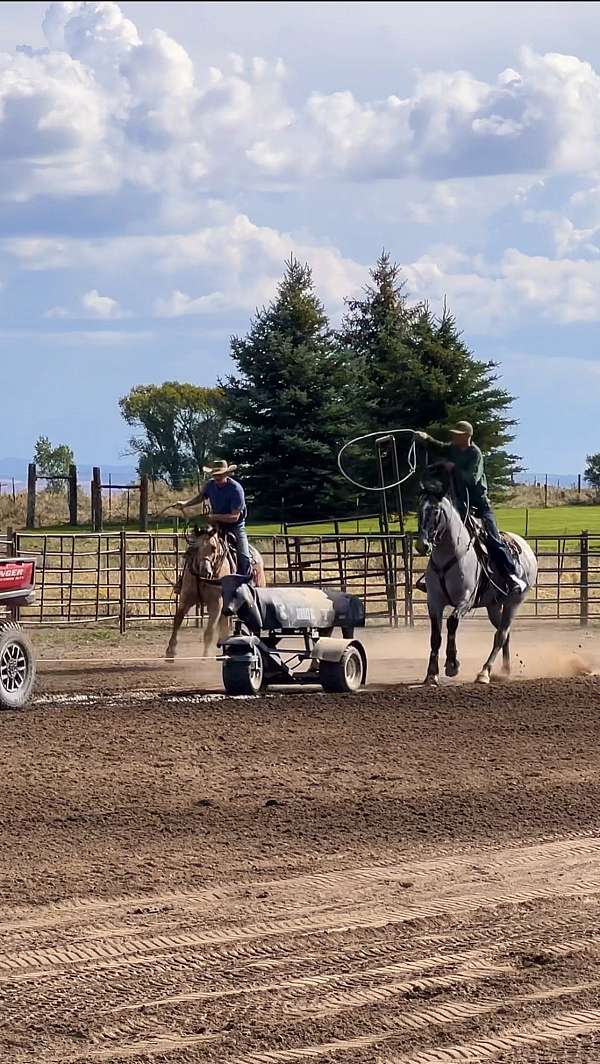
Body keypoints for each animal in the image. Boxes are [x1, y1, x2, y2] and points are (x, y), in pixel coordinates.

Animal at [165, 525, 266, 659]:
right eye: (195, 548)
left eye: (213, 548)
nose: (205, 571)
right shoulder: (185, 599)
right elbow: (177, 621)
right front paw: (170, 651)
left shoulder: (216, 604)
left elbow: (209, 631)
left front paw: (205, 657)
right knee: (224, 625)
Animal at [415, 463, 538, 685]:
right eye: (419, 510)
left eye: (436, 511)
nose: (422, 545)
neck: (451, 554)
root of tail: (525, 546)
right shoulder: (434, 600)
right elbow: (435, 635)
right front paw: (431, 674)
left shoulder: (466, 599)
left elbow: (452, 623)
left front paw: (452, 665)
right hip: (493, 605)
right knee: (504, 633)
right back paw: (505, 670)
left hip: (514, 602)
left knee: (501, 635)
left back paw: (484, 673)